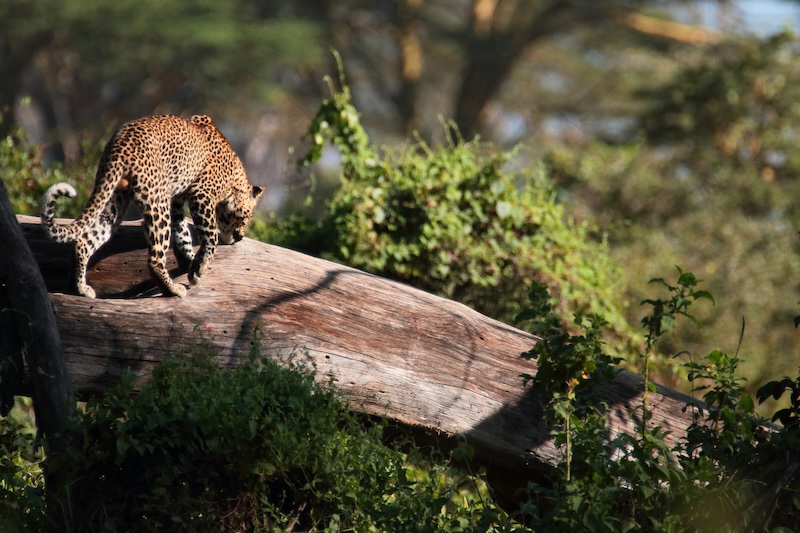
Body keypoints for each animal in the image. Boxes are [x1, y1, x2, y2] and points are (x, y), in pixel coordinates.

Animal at [40, 114, 264, 298]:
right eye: (245, 218)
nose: (240, 237)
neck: (234, 179)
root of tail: (120, 144)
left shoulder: (177, 202)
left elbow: (182, 234)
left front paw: (189, 261)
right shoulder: (202, 196)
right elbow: (210, 236)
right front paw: (199, 269)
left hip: (115, 199)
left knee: (84, 240)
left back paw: (80, 289)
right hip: (157, 202)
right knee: (155, 257)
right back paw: (173, 290)